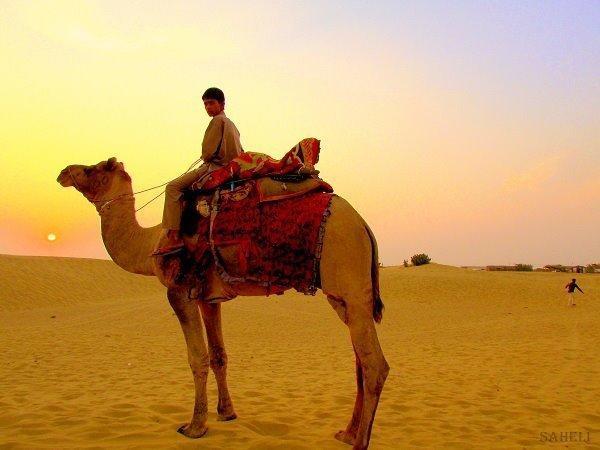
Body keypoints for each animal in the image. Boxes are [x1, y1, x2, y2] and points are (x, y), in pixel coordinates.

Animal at [56, 158, 390, 450]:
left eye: (92, 168)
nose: (64, 172)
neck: (150, 244)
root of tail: (364, 225)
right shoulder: (207, 297)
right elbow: (218, 355)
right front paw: (226, 413)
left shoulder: (179, 291)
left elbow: (197, 359)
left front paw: (194, 426)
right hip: (342, 297)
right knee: (360, 361)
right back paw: (347, 433)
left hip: (351, 284)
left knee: (375, 364)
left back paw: (359, 442)